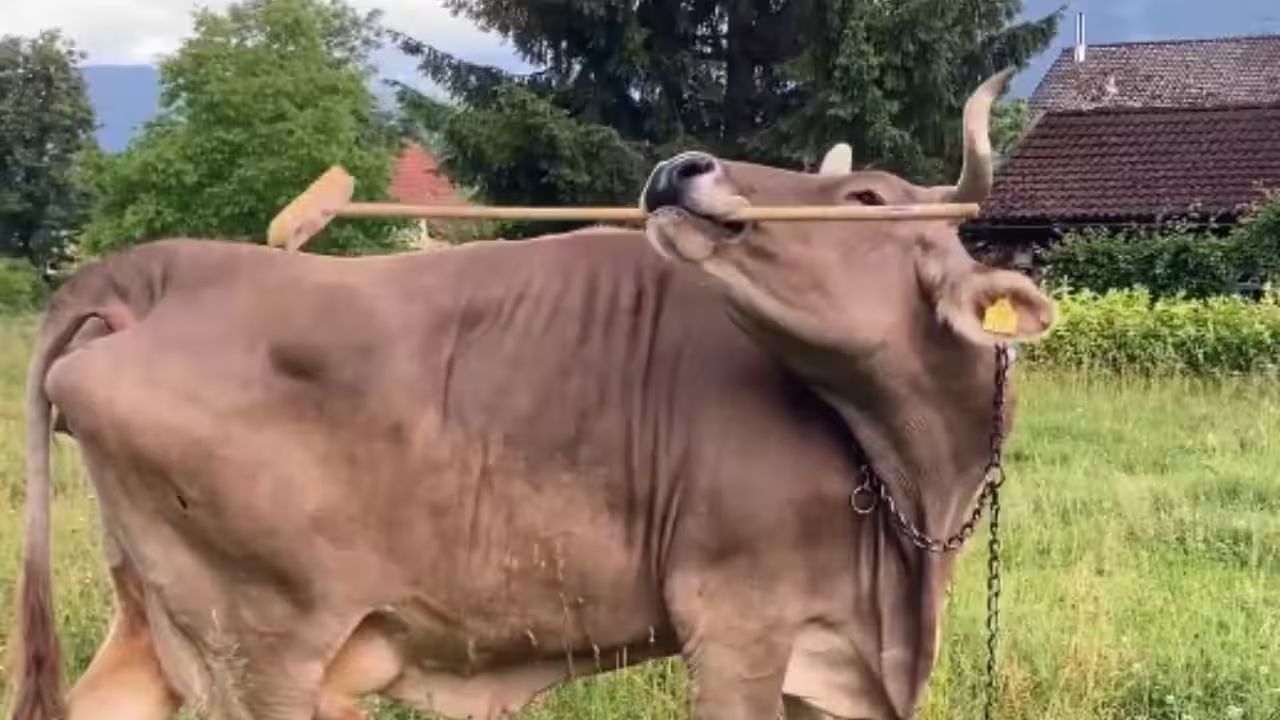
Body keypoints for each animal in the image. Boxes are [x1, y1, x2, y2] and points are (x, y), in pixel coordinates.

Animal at [8, 68, 1055, 720]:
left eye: (869, 199)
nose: (683, 166)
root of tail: (158, 270)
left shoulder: (827, 653)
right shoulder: (737, 623)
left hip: (157, 619)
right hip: (261, 645)